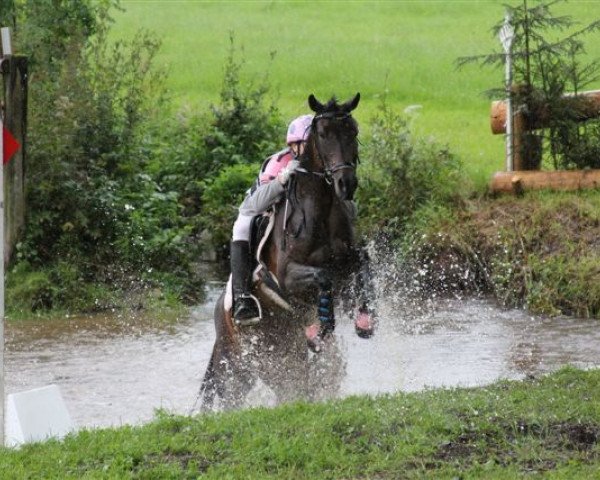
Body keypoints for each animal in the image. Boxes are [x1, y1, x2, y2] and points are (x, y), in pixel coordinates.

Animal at [197, 93, 376, 408]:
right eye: (323, 134)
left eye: (353, 131)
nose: (346, 184)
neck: (319, 213)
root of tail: (220, 316)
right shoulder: (288, 277)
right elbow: (322, 278)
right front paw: (319, 329)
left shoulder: (347, 261)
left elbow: (363, 264)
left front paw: (364, 320)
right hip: (247, 363)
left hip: (276, 358)